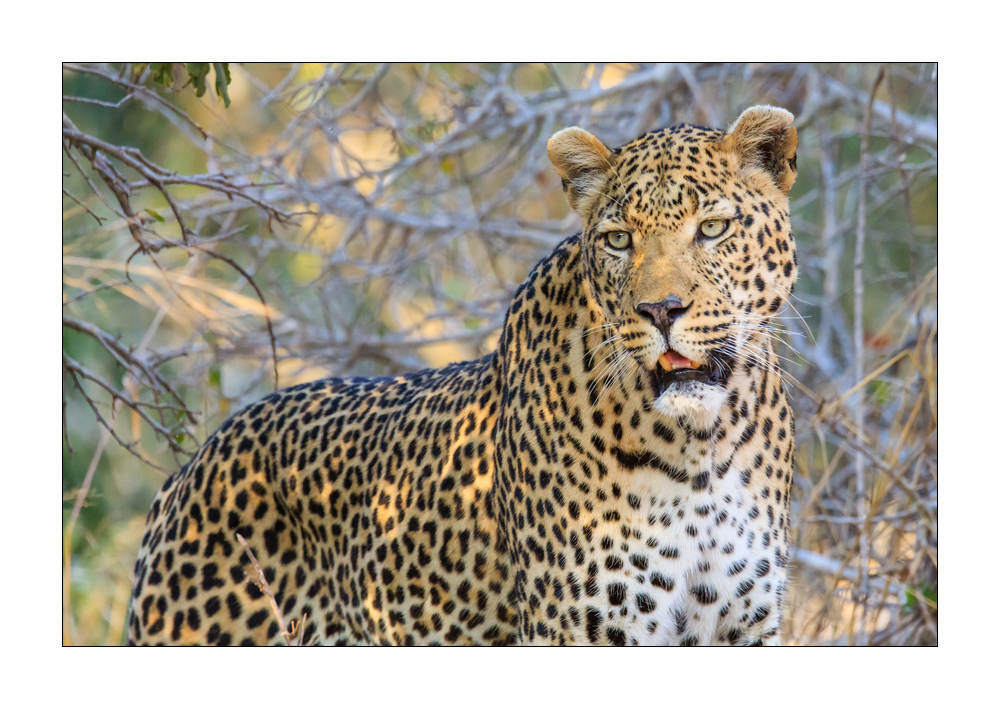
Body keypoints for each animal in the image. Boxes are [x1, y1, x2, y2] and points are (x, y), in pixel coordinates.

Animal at [128, 105, 800, 646]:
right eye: (617, 240)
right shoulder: (579, 630)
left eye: (712, 228)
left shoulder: (743, 625)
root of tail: (188, 470)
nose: (660, 310)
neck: (699, 448)